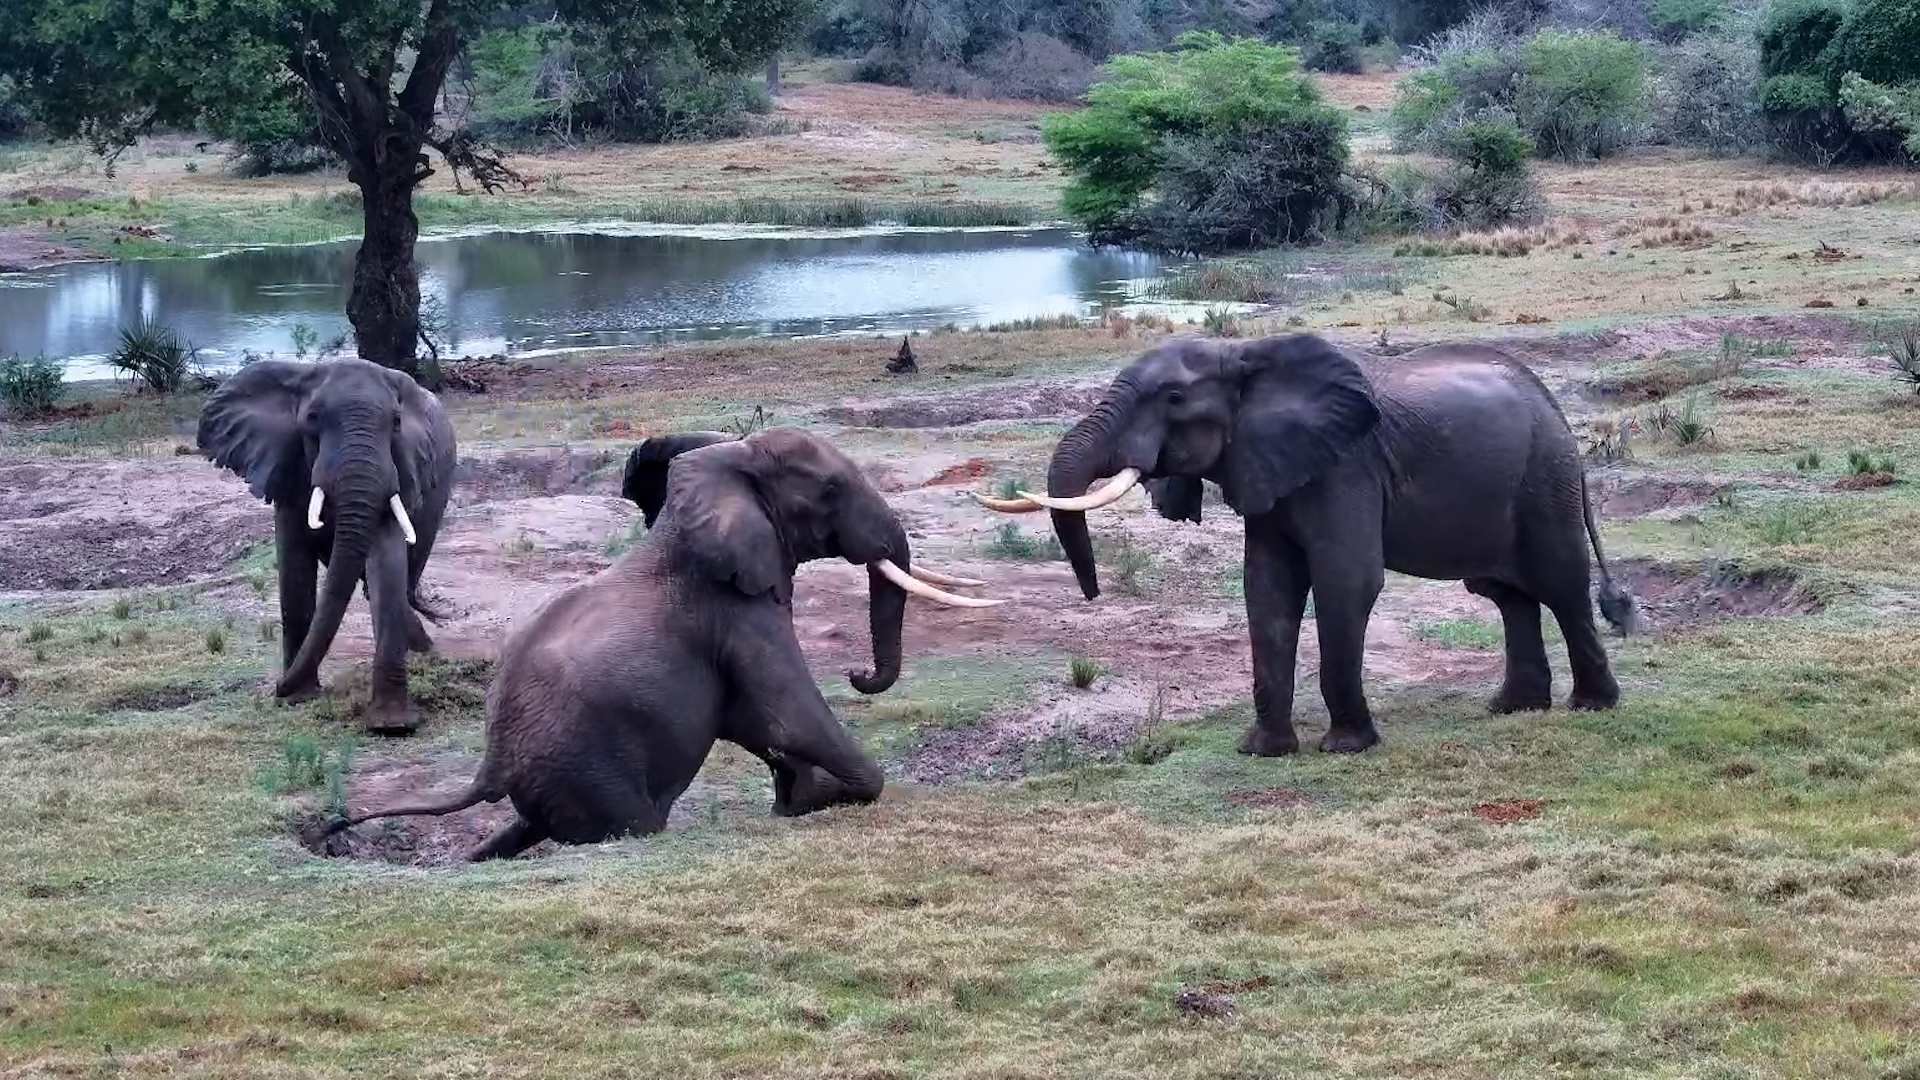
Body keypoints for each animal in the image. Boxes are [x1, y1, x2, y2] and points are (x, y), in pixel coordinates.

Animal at [198, 357, 456, 734]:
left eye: (395, 423)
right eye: (312, 418)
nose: (278, 687)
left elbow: (386, 560)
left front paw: (392, 726)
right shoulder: (287, 467)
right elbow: (295, 568)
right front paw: (298, 699)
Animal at [322, 427, 1003, 860]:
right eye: (829, 492)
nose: (860, 674)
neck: (727, 464)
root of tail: (491, 763)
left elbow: (753, 720)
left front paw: (798, 793)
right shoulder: (735, 607)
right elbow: (785, 712)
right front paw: (823, 793)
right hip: (588, 770)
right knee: (633, 826)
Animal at [976, 333, 1632, 756]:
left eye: (1173, 399)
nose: (1091, 595)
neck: (1247, 355)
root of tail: (1552, 401)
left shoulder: (1346, 467)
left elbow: (1347, 580)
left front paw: (1346, 747)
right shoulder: (1268, 466)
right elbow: (1267, 588)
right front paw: (1263, 750)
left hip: (1544, 476)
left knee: (1561, 584)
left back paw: (1592, 707)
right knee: (1507, 594)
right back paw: (1512, 708)